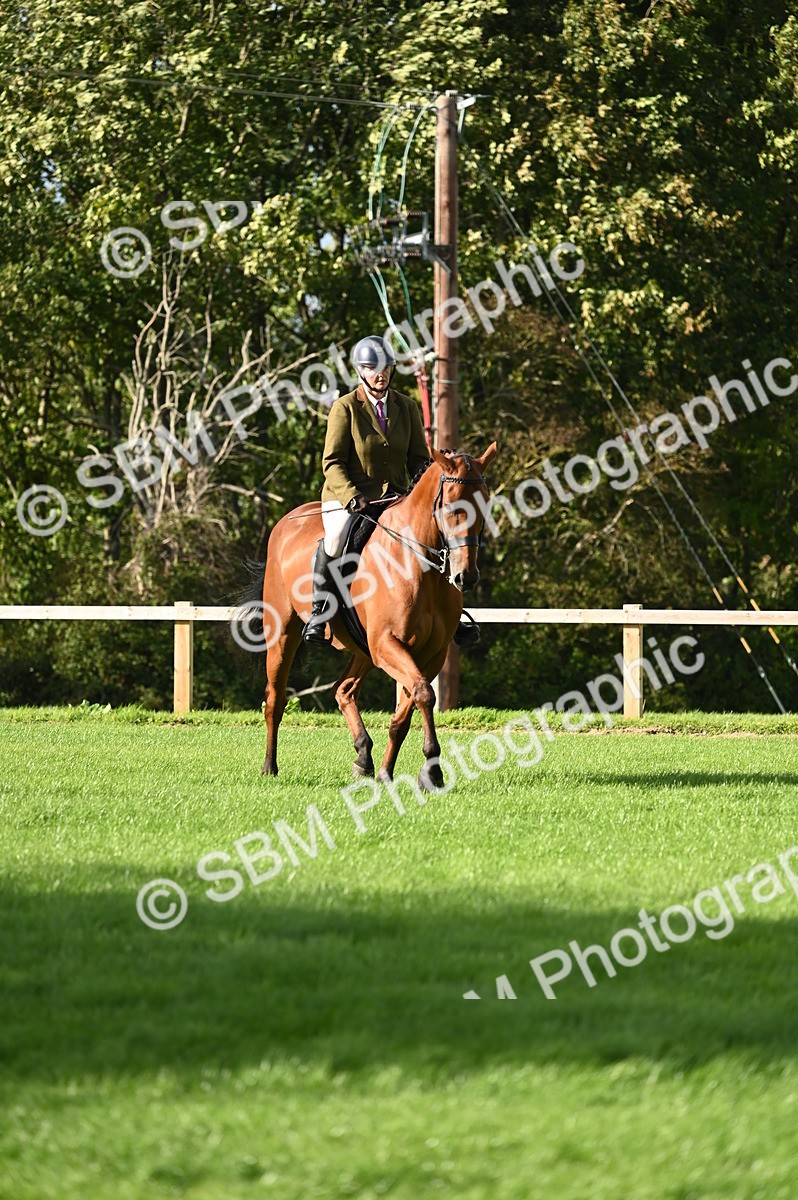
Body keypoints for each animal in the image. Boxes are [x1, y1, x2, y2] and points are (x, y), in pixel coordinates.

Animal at [257, 442, 497, 790]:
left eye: (485, 506)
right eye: (453, 508)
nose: (466, 576)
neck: (419, 563)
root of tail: (287, 521)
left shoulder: (429, 653)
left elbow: (407, 709)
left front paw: (389, 771)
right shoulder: (388, 643)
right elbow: (423, 693)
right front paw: (433, 769)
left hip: (364, 649)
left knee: (344, 690)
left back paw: (363, 757)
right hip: (284, 634)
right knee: (275, 699)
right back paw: (269, 766)